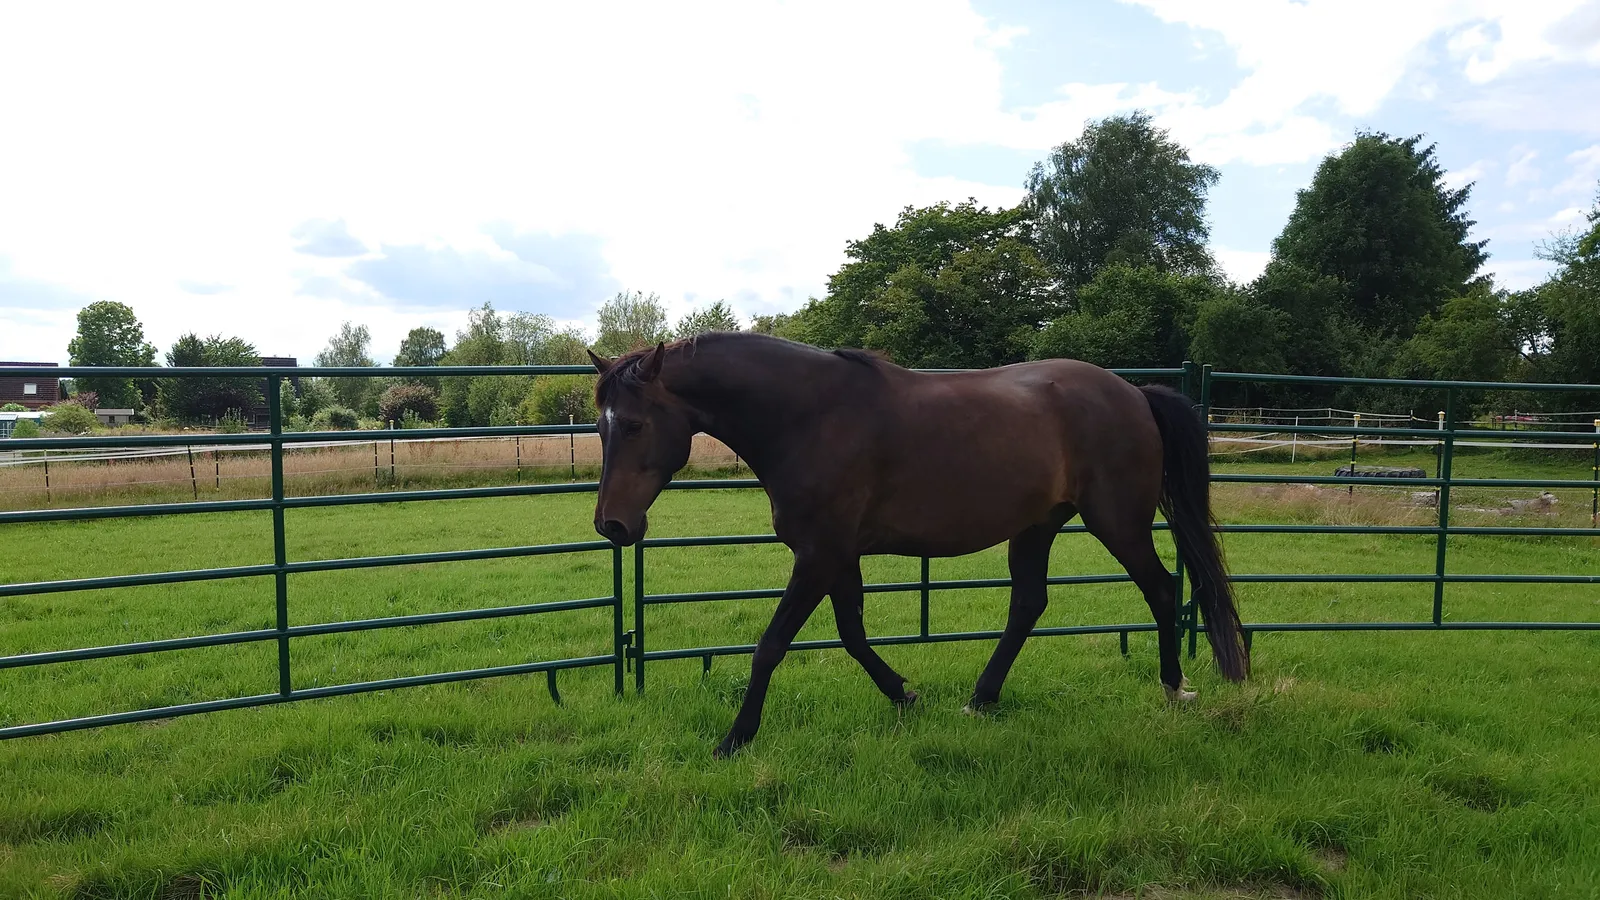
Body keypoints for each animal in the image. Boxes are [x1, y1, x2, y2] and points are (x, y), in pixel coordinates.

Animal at [586, 331, 1248, 758]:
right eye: (600, 426)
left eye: (636, 425)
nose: (612, 526)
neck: (809, 417)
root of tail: (1135, 394)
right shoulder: (837, 556)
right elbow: (852, 635)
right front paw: (904, 694)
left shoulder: (819, 555)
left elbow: (770, 645)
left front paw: (735, 738)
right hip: (1037, 526)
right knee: (1028, 605)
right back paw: (981, 700)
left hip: (1118, 522)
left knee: (1161, 590)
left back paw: (1174, 688)